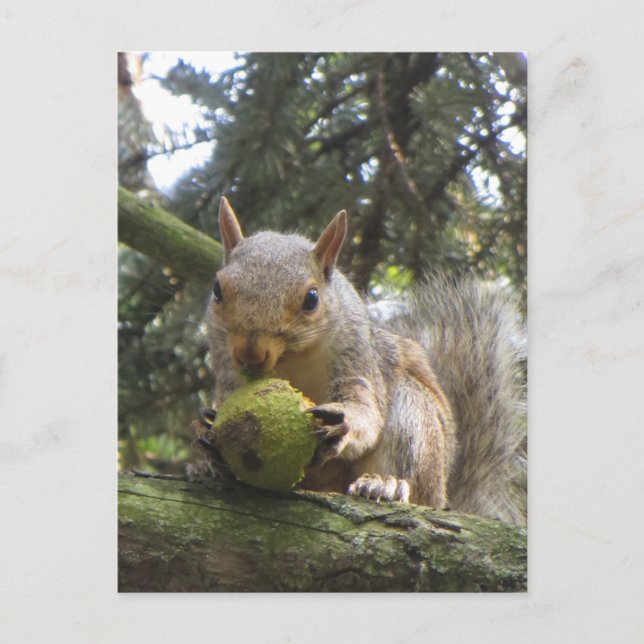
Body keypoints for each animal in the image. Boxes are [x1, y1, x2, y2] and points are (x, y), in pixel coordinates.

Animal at [198, 197, 527, 526]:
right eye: (217, 289)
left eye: (312, 298)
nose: (250, 353)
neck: (291, 361)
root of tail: (443, 497)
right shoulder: (226, 367)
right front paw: (207, 438)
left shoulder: (357, 360)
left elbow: (366, 413)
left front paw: (343, 424)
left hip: (413, 422)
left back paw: (386, 485)